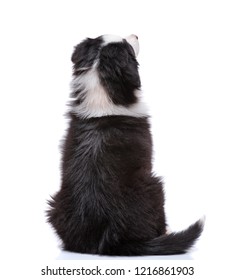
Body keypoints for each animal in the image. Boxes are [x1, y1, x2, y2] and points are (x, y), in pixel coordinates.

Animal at [46, 34, 204, 256]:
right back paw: (166, 233)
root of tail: (107, 241)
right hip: (154, 186)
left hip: (55, 204)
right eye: (128, 47)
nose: (136, 35)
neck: (101, 93)